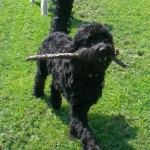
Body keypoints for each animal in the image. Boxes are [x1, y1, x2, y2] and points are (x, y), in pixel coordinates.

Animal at [33, 0, 116, 149]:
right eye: (90, 41)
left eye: (106, 38)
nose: (103, 49)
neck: (87, 75)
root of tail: (56, 32)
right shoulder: (77, 105)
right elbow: (83, 128)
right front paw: (89, 143)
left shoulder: (85, 104)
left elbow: (77, 122)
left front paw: (73, 133)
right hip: (42, 66)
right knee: (39, 78)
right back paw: (38, 93)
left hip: (57, 76)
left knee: (54, 85)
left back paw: (55, 103)